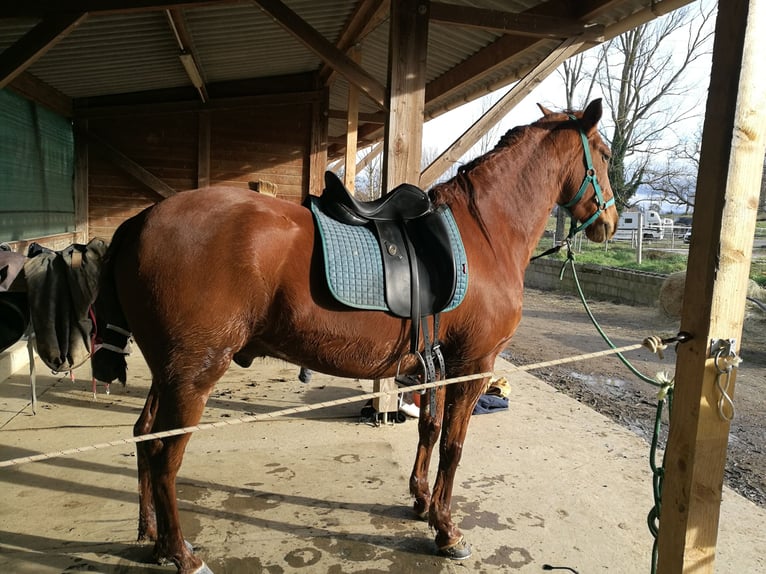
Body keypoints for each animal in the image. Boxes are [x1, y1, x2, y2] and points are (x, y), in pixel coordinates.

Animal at [92, 99, 618, 574]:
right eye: (607, 153)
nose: (611, 222)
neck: (483, 233)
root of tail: (142, 220)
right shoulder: (473, 366)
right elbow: (453, 446)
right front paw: (448, 530)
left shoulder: (436, 364)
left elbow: (429, 430)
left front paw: (422, 503)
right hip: (193, 376)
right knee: (164, 456)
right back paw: (181, 554)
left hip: (169, 373)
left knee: (144, 438)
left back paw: (152, 536)